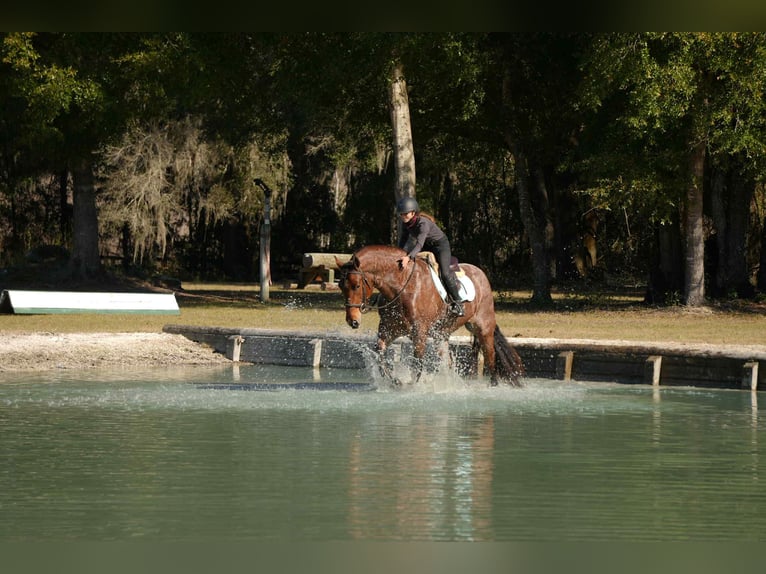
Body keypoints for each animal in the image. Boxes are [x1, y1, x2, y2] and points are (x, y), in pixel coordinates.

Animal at [335, 245, 524, 387]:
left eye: (356, 285)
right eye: (341, 287)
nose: (352, 321)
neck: (401, 286)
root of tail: (481, 274)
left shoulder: (419, 332)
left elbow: (417, 362)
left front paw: (412, 386)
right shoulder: (390, 329)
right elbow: (380, 353)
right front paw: (395, 381)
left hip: (483, 327)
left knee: (490, 357)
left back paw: (493, 385)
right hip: (442, 334)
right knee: (447, 361)